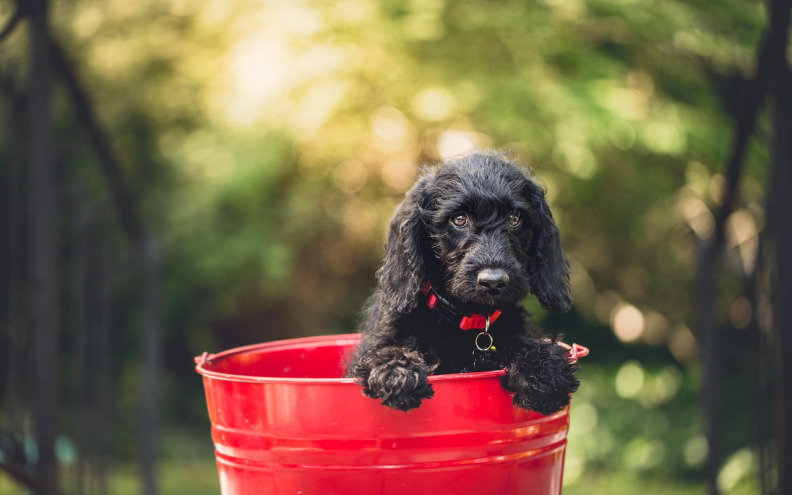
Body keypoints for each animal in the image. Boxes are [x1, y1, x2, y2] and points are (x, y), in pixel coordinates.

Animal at [350, 150, 580, 414]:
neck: (464, 317)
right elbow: (384, 350)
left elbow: (522, 340)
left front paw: (543, 369)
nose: (494, 282)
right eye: (459, 219)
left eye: (515, 218)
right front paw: (397, 372)